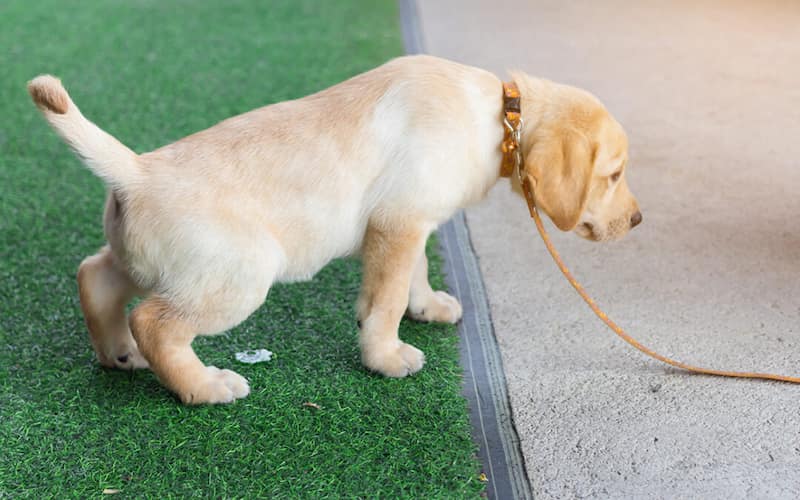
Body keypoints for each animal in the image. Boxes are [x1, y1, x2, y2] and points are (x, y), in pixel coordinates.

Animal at [31, 55, 640, 406]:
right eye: (614, 174)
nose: (637, 220)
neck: (500, 117)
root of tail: (135, 171)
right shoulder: (399, 221)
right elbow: (387, 298)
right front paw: (386, 355)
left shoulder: (407, 223)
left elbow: (413, 273)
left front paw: (426, 307)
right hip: (238, 275)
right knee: (155, 323)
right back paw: (205, 386)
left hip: (145, 258)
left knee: (95, 276)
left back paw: (117, 354)